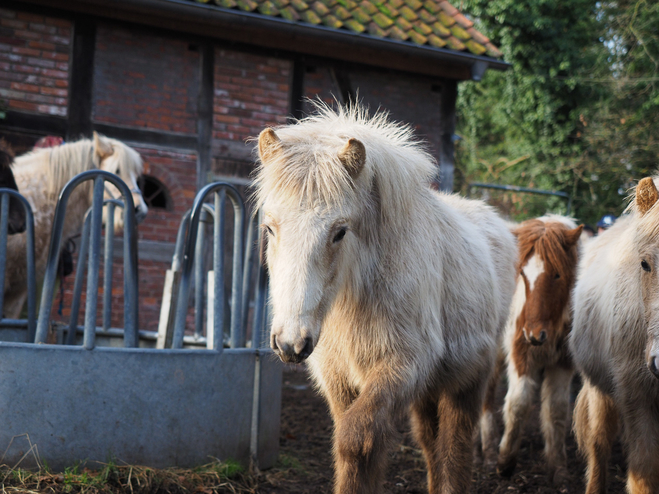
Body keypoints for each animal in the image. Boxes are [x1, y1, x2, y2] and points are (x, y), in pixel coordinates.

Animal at [255, 104, 520, 494]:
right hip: (430, 391)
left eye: (340, 232)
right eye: (270, 228)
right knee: (431, 443)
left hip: (466, 383)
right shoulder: (339, 378)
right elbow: (356, 447)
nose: (290, 343)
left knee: (454, 448)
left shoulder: (399, 369)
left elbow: (355, 440)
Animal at [480, 215, 584, 486]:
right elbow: (519, 403)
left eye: (557, 275)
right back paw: (488, 451)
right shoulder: (521, 354)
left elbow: (557, 409)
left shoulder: (563, 363)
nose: (535, 335)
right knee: (487, 396)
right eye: (522, 274)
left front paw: (558, 468)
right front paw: (505, 461)